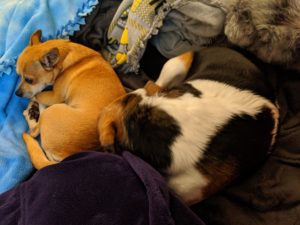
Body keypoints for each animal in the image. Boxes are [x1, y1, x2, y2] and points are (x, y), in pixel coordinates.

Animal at [15, 30, 125, 170]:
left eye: (29, 80)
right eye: (19, 75)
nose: (16, 93)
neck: (64, 57)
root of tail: (66, 158)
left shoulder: (54, 96)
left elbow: (37, 94)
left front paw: (33, 99)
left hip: (52, 110)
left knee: (34, 131)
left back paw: (31, 112)